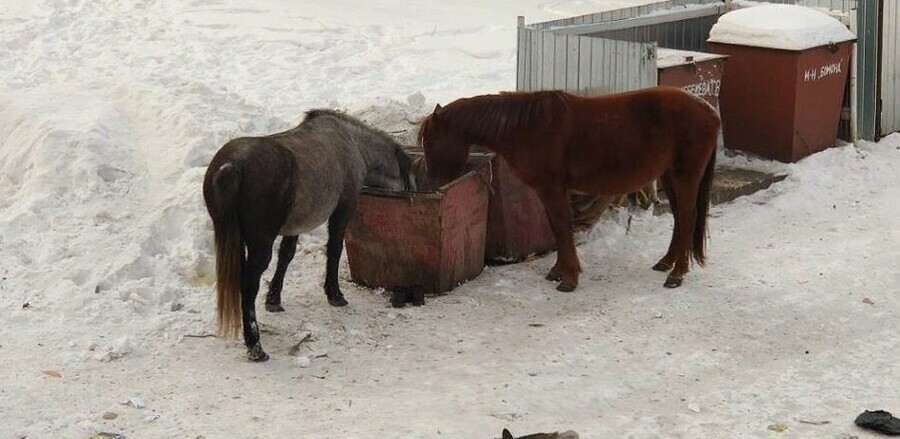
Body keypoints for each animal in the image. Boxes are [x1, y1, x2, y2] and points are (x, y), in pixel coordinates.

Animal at [202, 108, 414, 362]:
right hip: (260, 244)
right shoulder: (342, 209)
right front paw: (335, 295)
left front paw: (274, 299)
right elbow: (334, 249)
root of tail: (231, 166)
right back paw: (255, 346)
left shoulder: (295, 226)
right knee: (249, 285)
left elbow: (286, 255)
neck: (352, 143)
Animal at [418, 86, 720, 292]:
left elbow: (563, 228)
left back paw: (677, 273)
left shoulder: (552, 188)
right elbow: (557, 228)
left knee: (688, 217)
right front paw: (558, 271)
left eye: (431, 141)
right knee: (680, 218)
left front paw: (569, 278)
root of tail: (709, 111)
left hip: (685, 176)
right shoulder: (550, 191)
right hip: (669, 175)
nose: (432, 182)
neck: (527, 127)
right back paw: (666, 262)